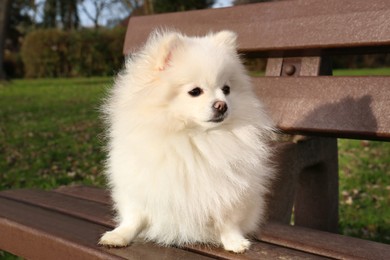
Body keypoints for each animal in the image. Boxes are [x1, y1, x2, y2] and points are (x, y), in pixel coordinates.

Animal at [98, 29, 274, 253]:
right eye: (195, 91)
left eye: (226, 89)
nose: (222, 105)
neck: (193, 136)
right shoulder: (140, 184)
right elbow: (134, 217)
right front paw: (119, 235)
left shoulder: (230, 191)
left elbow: (228, 221)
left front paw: (235, 242)